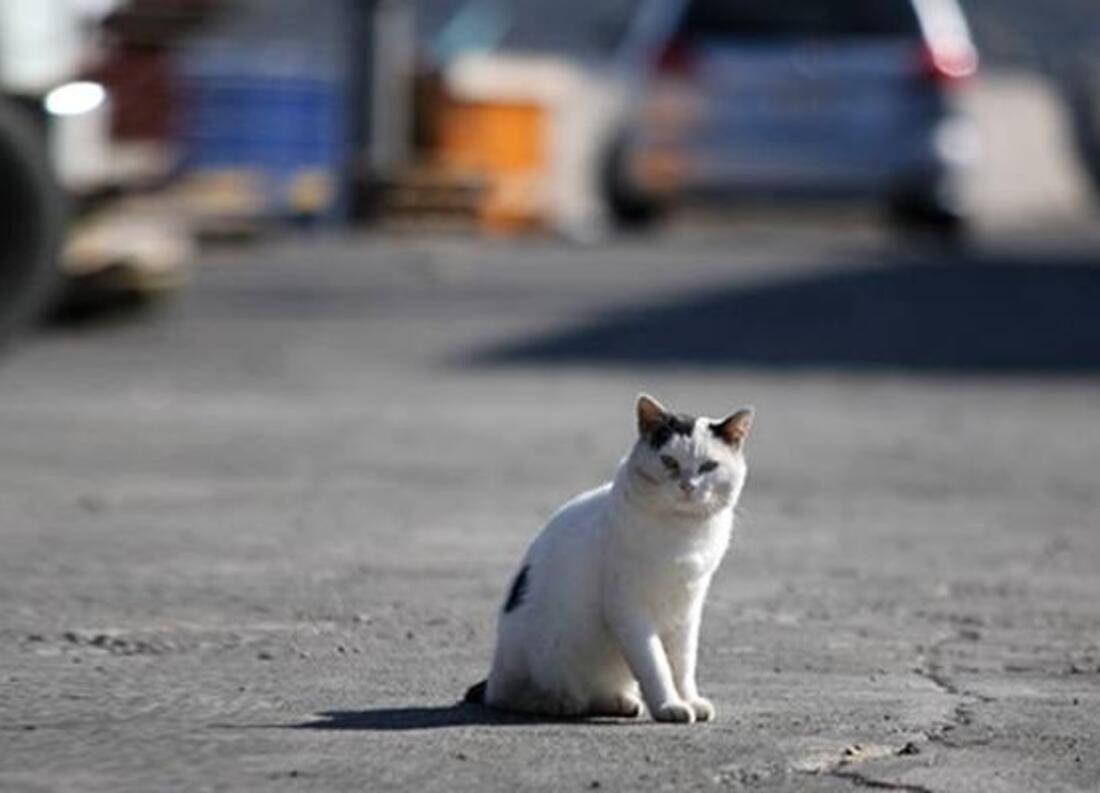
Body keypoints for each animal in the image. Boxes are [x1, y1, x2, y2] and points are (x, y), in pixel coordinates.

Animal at [459, 393, 752, 721]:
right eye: (669, 462)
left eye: (708, 466)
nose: (687, 486)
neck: (683, 532)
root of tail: (494, 673)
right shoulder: (628, 608)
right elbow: (655, 664)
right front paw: (670, 705)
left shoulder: (688, 608)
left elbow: (682, 664)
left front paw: (689, 700)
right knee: (508, 696)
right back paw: (557, 702)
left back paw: (619, 701)